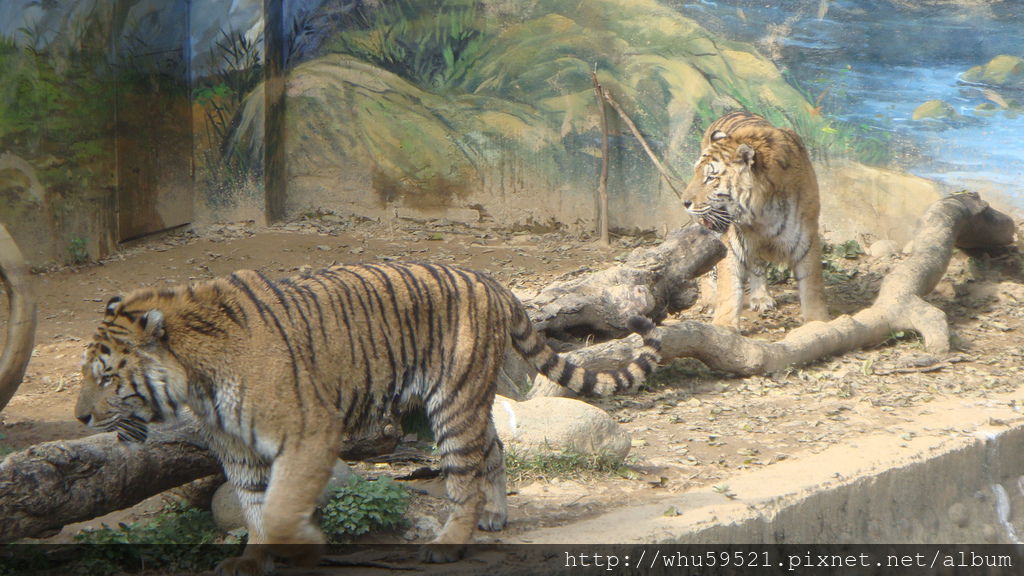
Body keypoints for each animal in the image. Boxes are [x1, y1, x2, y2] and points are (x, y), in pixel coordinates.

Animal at [74, 261, 663, 573]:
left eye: (105, 377)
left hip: (452, 400)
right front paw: (251, 561)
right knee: (491, 450)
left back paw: (449, 543)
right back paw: (495, 516)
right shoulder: (238, 450)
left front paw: (305, 547)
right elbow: (254, 509)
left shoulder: (309, 434)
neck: (196, 382)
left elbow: (281, 510)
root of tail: (488, 279)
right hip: (463, 400)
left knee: (463, 474)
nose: (79, 418)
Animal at [679, 111, 831, 327]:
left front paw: (818, 322)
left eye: (710, 178)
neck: (762, 214)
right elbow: (729, 288)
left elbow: (812, 286)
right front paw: (723, 325)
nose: (684, 202)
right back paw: (710, 300)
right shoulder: (733, 243)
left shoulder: (806, 239)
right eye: (696, 174)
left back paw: (761, 297)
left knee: (757, 264)